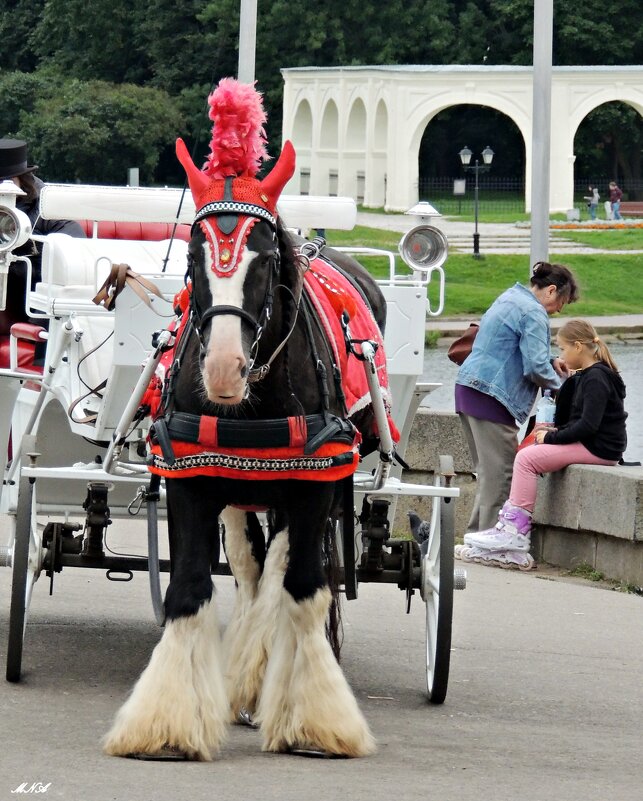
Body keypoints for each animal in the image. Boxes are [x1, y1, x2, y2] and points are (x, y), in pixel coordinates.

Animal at [103, 134, 390, 760]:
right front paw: (167, 725)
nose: (223, 369)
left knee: (281, 569)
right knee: (250, 563)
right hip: (241, 494)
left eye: (265, 258)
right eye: (192, 256)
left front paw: (314, 722)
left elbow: (303, 588)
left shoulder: (314, 486)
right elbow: (190, 588)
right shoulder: (191, 481)